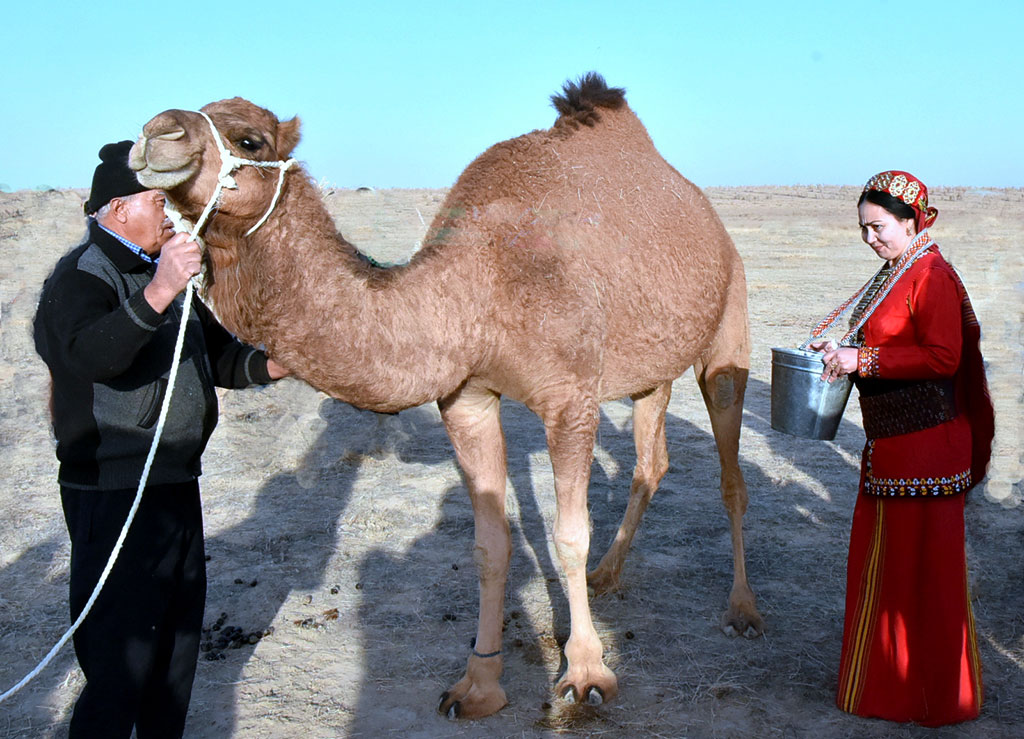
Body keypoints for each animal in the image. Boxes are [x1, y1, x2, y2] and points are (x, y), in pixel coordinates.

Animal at [129, 73, 763, 719]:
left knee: (730, 472)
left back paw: (742, 610)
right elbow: (490, 546)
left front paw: (587, 673)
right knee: (650, 461)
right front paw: (478, 684)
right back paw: (610, 575)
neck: (474, 289)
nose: (156, 132)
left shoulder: (571, 400)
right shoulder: (467, 399)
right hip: (649, 371)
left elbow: (569, 536)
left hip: (728, 324)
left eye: (250, 139)